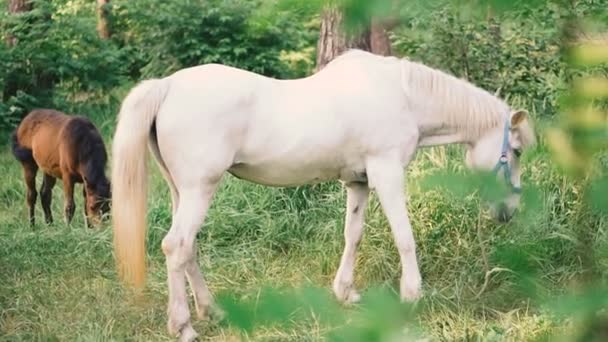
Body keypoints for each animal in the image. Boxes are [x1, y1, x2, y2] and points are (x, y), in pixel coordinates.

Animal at [111, 49, 536, 340]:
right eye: (515, 151)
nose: (510, 210)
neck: (403, 97)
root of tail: (167, 86)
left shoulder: (359, 181)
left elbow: (354, 235)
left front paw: (346, 293)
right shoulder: (387, 173)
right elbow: (405, 237)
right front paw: (412, 295)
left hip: (183, 191)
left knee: (188, 250)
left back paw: (211, 311)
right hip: (200, 189)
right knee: (177, 247)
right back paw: (183, 326)